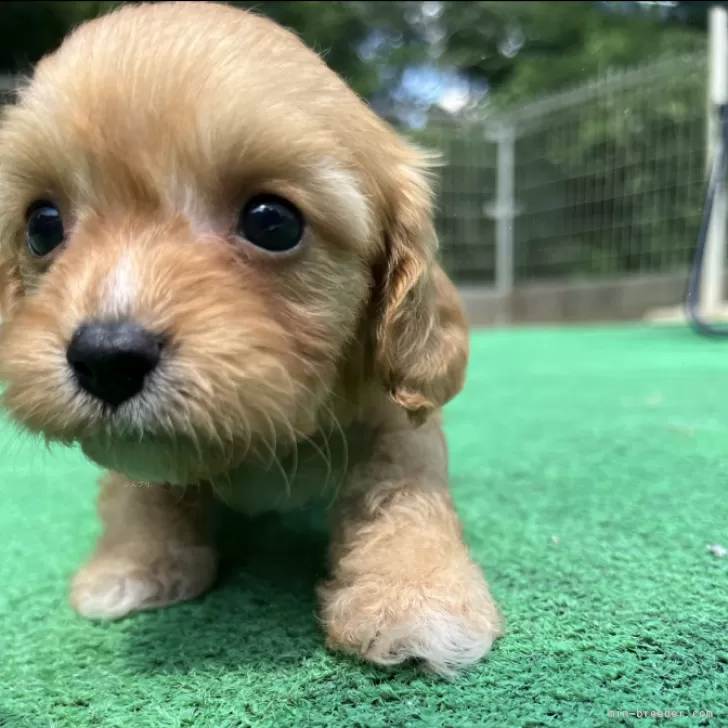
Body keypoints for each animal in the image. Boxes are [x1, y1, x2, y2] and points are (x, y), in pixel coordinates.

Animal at [0, 1, 500, 676]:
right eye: (42, 226)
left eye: (272, 222)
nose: (105, 359)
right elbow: (138, 490)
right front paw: (132, 566)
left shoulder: (393, 417)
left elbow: (402, 494)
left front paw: (416, 598)